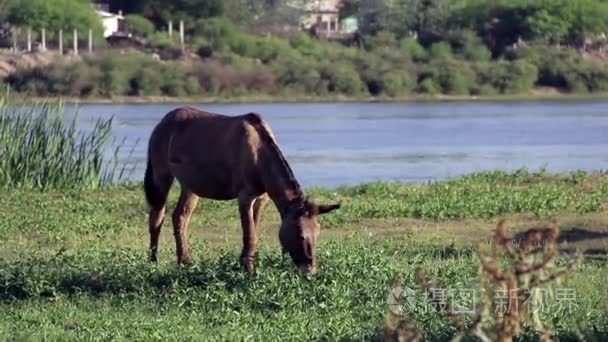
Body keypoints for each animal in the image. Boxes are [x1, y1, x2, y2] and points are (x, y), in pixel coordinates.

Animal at [144, 107, 340, 276]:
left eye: (318, 233)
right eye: (299, 233)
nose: (310, 271)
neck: (260, 157)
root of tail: (161, 123)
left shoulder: (262, 198)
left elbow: (254, 231)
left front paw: (247, 265)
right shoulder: (245, 196)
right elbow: (250, 235)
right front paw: (248, 271)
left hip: (190, 186)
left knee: (180, 216)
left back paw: (184, 261)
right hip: (162, 176)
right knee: (157, 217)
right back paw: (153, 261)